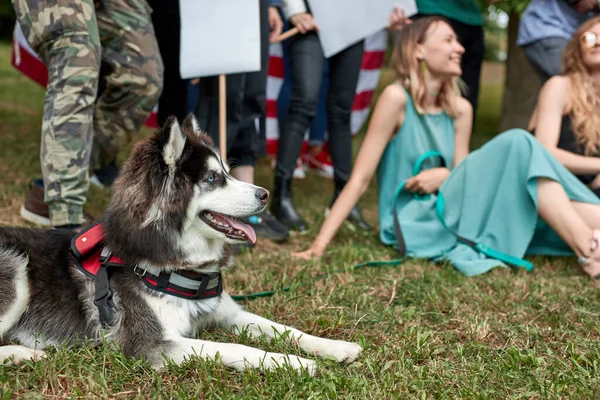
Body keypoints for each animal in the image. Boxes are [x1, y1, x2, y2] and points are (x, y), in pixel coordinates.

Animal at [0, 115, 360, 376]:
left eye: (229, 172)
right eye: (213, 179)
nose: (265, 195)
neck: (179, 270)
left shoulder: (229, 313)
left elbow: (284, 329)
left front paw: (336, 347)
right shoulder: (152, 345)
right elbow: (236, 348)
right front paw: (294, 363)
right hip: (15, 271)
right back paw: (22, 354)